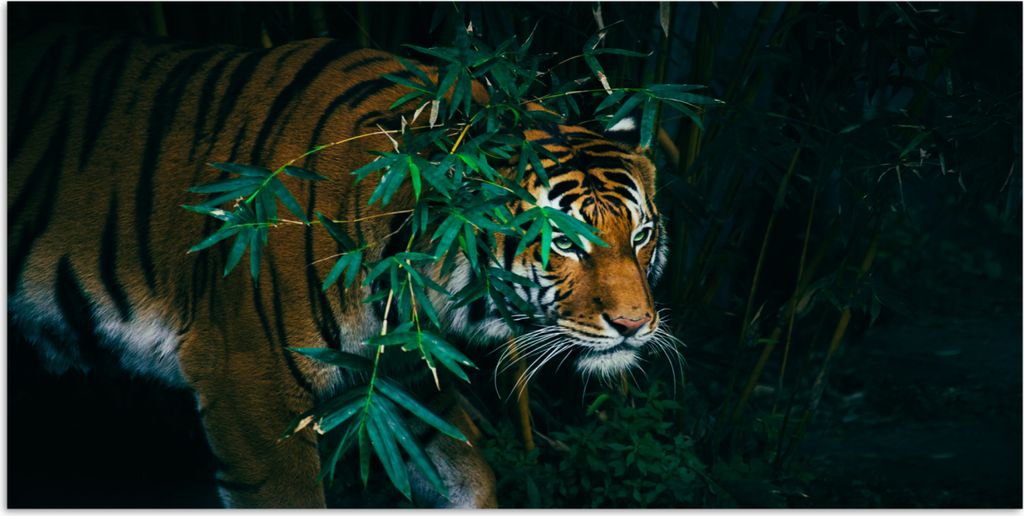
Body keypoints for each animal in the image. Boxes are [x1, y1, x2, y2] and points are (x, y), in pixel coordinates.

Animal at [8, 25, 670, 508]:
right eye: (562, 242)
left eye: (640, 235)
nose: (635, 326)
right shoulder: (247, 389)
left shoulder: (396, 383)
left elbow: (468, 475)